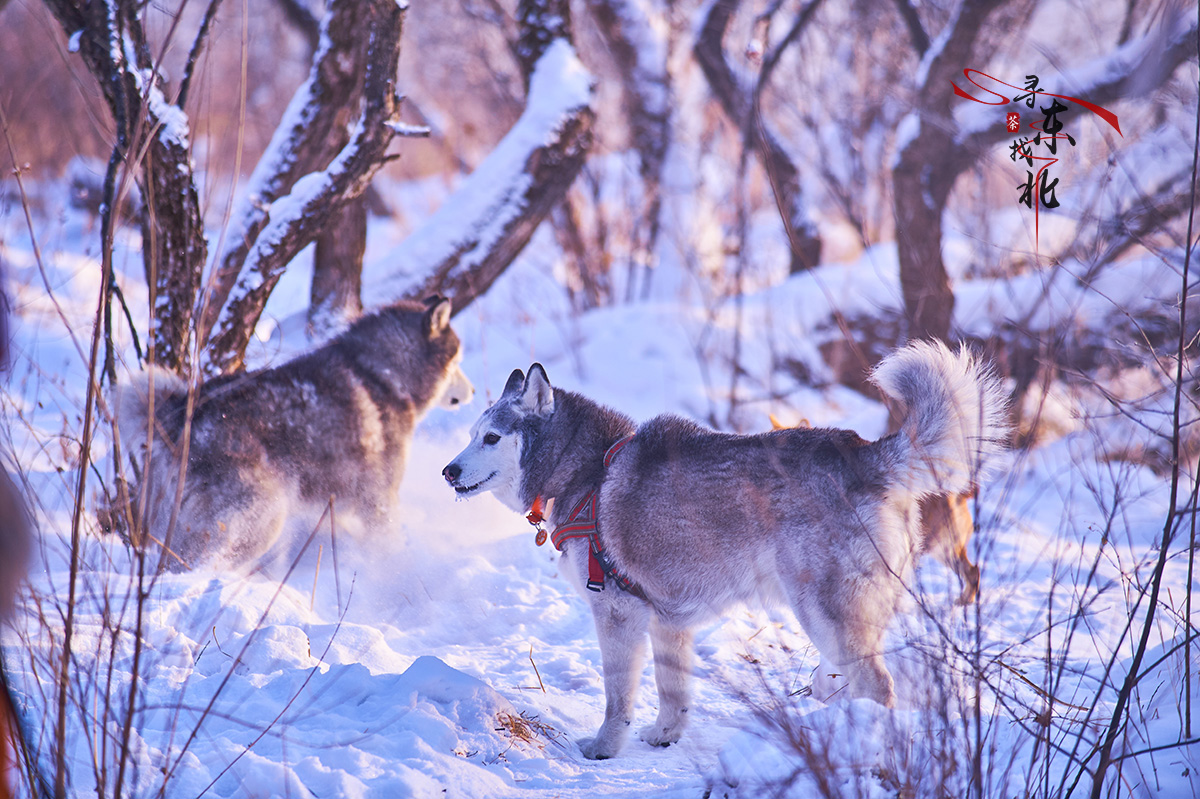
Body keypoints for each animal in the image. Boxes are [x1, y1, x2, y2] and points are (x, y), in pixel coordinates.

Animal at [118, 295, 472, 568]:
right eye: (457, 360)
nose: (472, 391)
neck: (382, 374)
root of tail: (177, 415)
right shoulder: (379, 499)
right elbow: (389, 546)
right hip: (261, 517)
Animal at [441, 338, 1003, 758]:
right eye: (470, 433)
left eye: (492, 438)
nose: (447, 470)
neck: (584, 472)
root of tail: (864, 453)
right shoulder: (666, 621)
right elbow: (673, 695)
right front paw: (664, 735)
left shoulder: (617, 612)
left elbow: (617, 699)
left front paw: (604, 747)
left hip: (824, 613)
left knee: (879, 687)